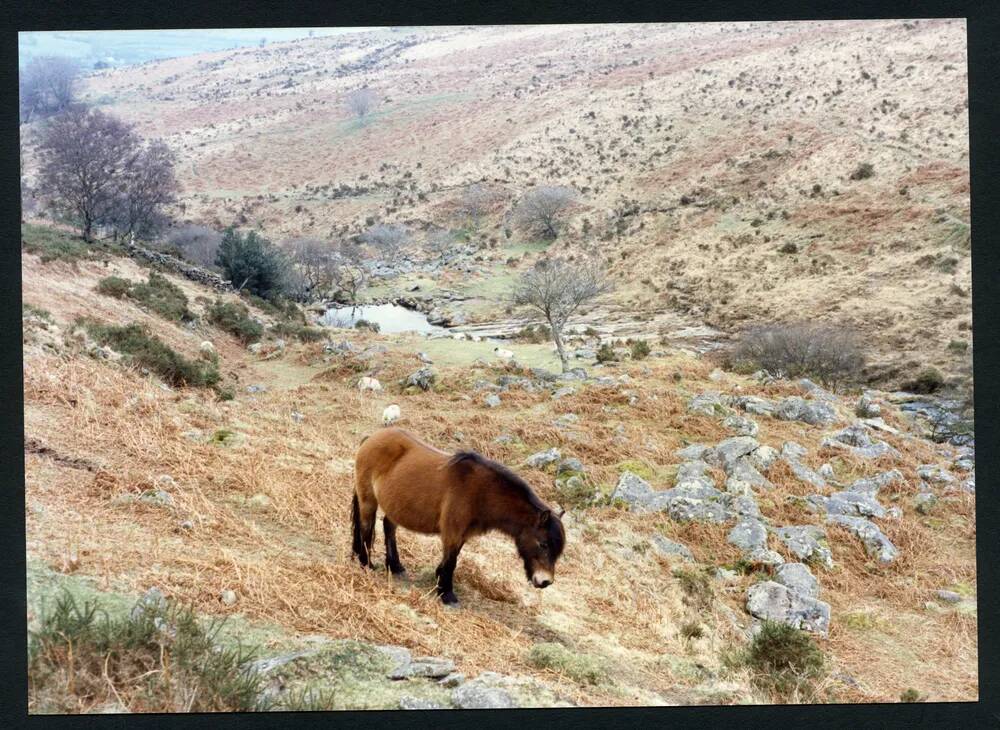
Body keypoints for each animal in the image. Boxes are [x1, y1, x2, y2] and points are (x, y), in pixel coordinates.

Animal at [354, 426, 568, 604]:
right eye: (543, 544)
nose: (545, 581)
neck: (481, 492)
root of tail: (370, 438)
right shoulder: (453, 532)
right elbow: (451, 561)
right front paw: (447, 594)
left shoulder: (462, 535)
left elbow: (452, 559)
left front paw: (440, 582)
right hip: (368, 501)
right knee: (366, 528)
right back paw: (366, 564)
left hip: (394, 506)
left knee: (388, 527)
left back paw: (395, 566)